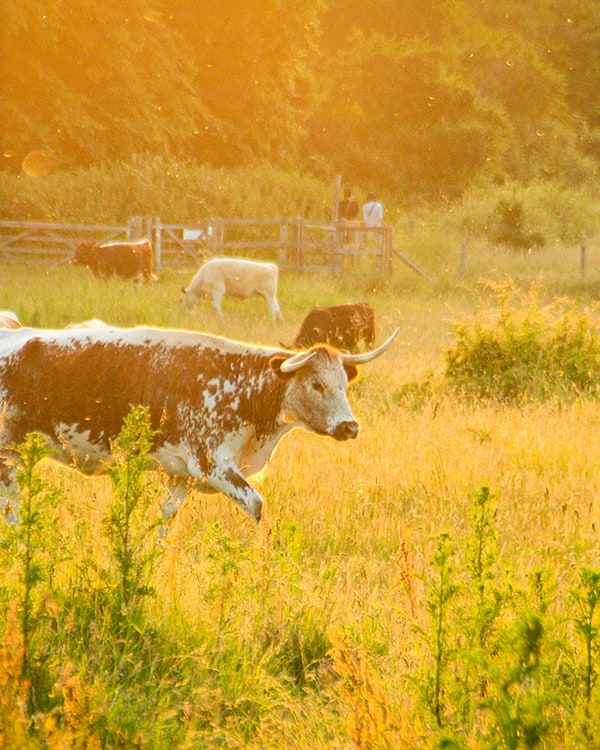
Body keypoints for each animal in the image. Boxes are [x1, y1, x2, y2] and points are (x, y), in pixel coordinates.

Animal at [0, 323, 398, 526]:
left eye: (344, 383)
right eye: (316, 384)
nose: (349, 427)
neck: (241, 386)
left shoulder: (182, 475)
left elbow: (164, 517)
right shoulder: (214, 465)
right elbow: (256, 505)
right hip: (7, 457)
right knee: (13, 508)